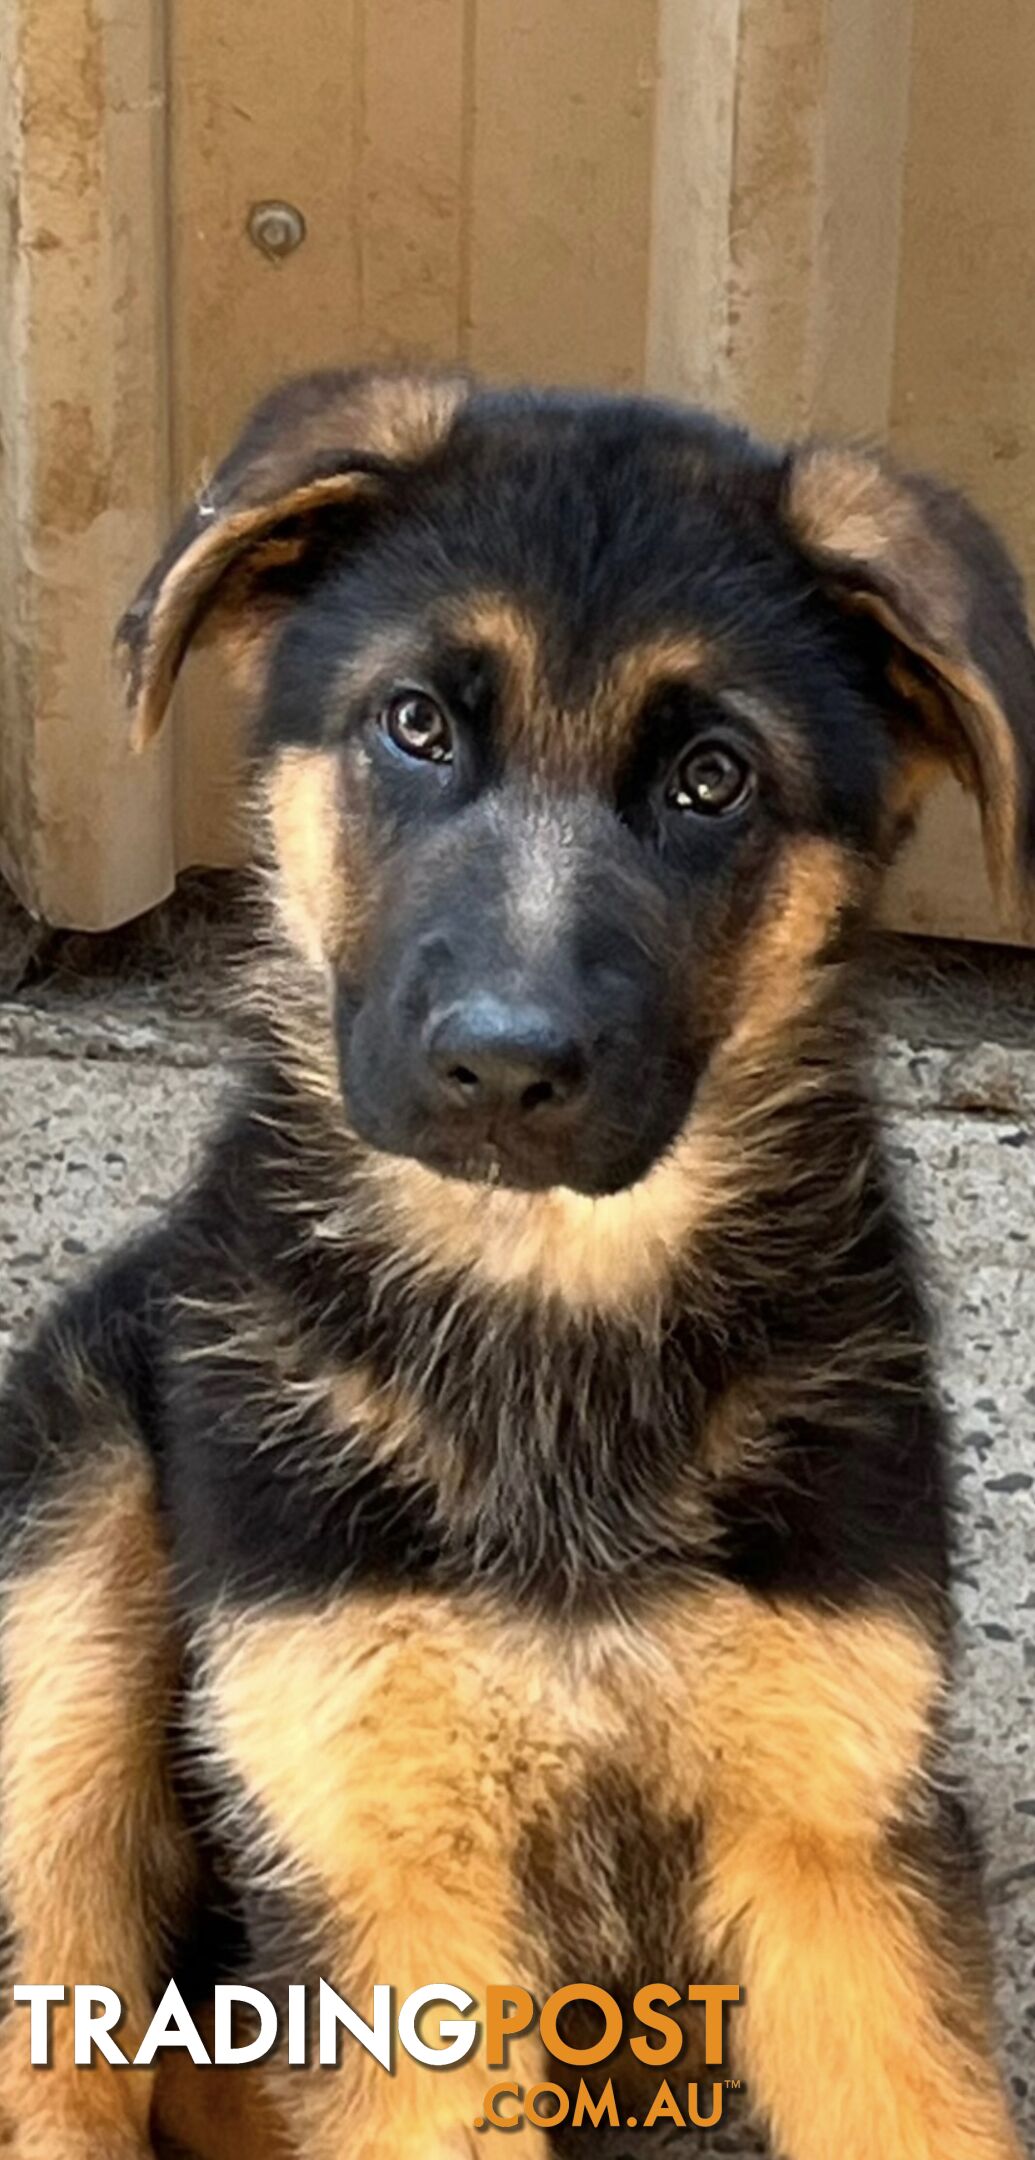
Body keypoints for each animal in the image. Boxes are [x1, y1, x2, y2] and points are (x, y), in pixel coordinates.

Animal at [0, 371, 1028, 2160]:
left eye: (710, 778)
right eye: (414, 725)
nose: (502, 1067)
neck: (548, 1306)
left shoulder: (838, 1842)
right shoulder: (384, 1861)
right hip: (71, 1552)